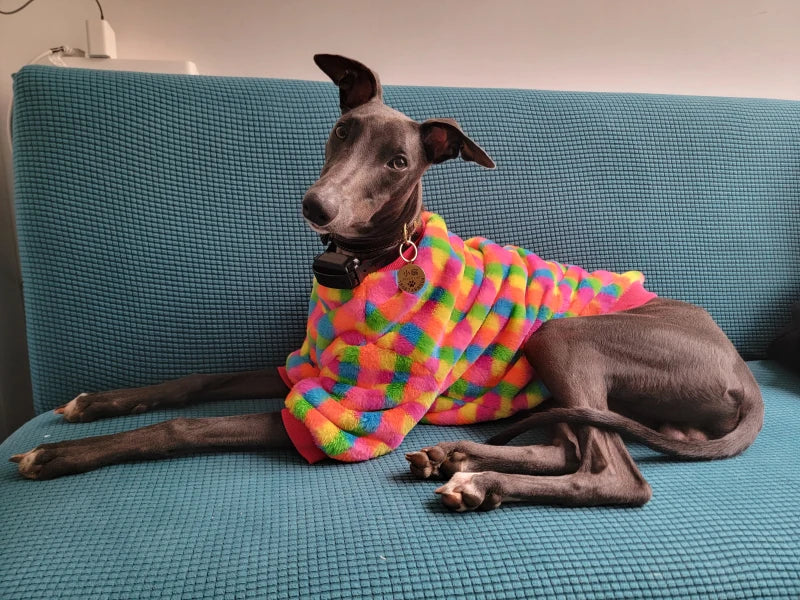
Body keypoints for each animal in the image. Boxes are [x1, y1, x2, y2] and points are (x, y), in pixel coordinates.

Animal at [10, 55, 764, 510]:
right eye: (342, 130)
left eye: (399, 161)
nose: (318, 207)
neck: (364, 268)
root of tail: (743, 377)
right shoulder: (304, 366)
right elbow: (195, 383)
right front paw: (95, 403)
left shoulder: (348, 412)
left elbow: (187, 427)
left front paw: (55, 454)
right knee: (566, 445)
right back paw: (458, 459)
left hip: (565, 335)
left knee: (617, 476)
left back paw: (482, 478)